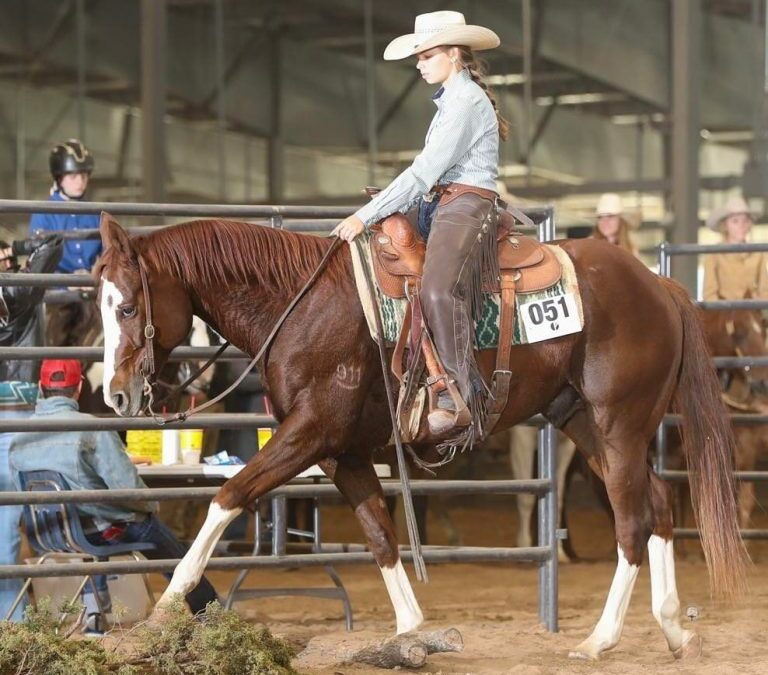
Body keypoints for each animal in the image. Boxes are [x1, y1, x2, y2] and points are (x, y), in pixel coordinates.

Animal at [95, 213, 747, 661]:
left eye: (126, 308)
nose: (117, 396)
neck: (300, 305)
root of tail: (659, 286)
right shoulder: (343, 453)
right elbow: (380, 536)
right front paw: (412, 630)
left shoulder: (309, 433)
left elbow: (228, 495)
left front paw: (167, 606)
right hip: (584, 423)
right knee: (657, 503)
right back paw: (673, 629)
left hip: (618, 424)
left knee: (632, 521)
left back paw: (599, 639)